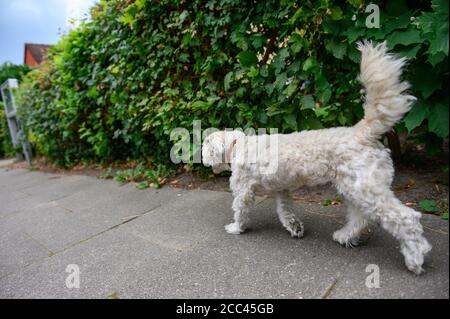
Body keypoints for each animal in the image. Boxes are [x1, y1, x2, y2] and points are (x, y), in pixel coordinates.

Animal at [202, 41, 430, 274]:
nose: (201, 158)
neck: (239, 145)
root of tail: (362, 132)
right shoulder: (282, 189)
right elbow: (285, 211)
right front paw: (294, 227)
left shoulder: (243, 190)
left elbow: (241, 210)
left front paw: (236, 228)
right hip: (353, 189)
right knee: (360, 218)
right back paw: (344, 236)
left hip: (366, 190)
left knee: (406, 218)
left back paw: (415, 257)